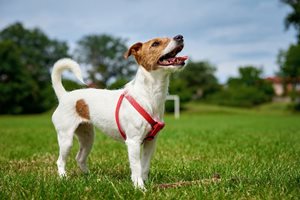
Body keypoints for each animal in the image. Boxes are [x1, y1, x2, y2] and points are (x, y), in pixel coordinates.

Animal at [51, 34, 188, 189]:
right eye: (155, 44)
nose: (180, 36)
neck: (150, 95)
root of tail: (64, 96)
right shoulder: (133, 142)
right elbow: (137, 167)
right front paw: (140, 187)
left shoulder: (150, 143)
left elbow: (145, 166)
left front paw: (145, 182)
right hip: (66, 138)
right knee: (60, 161)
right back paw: (64, 178)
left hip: (87, 137)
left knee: (80, 158)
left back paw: (90, 177)